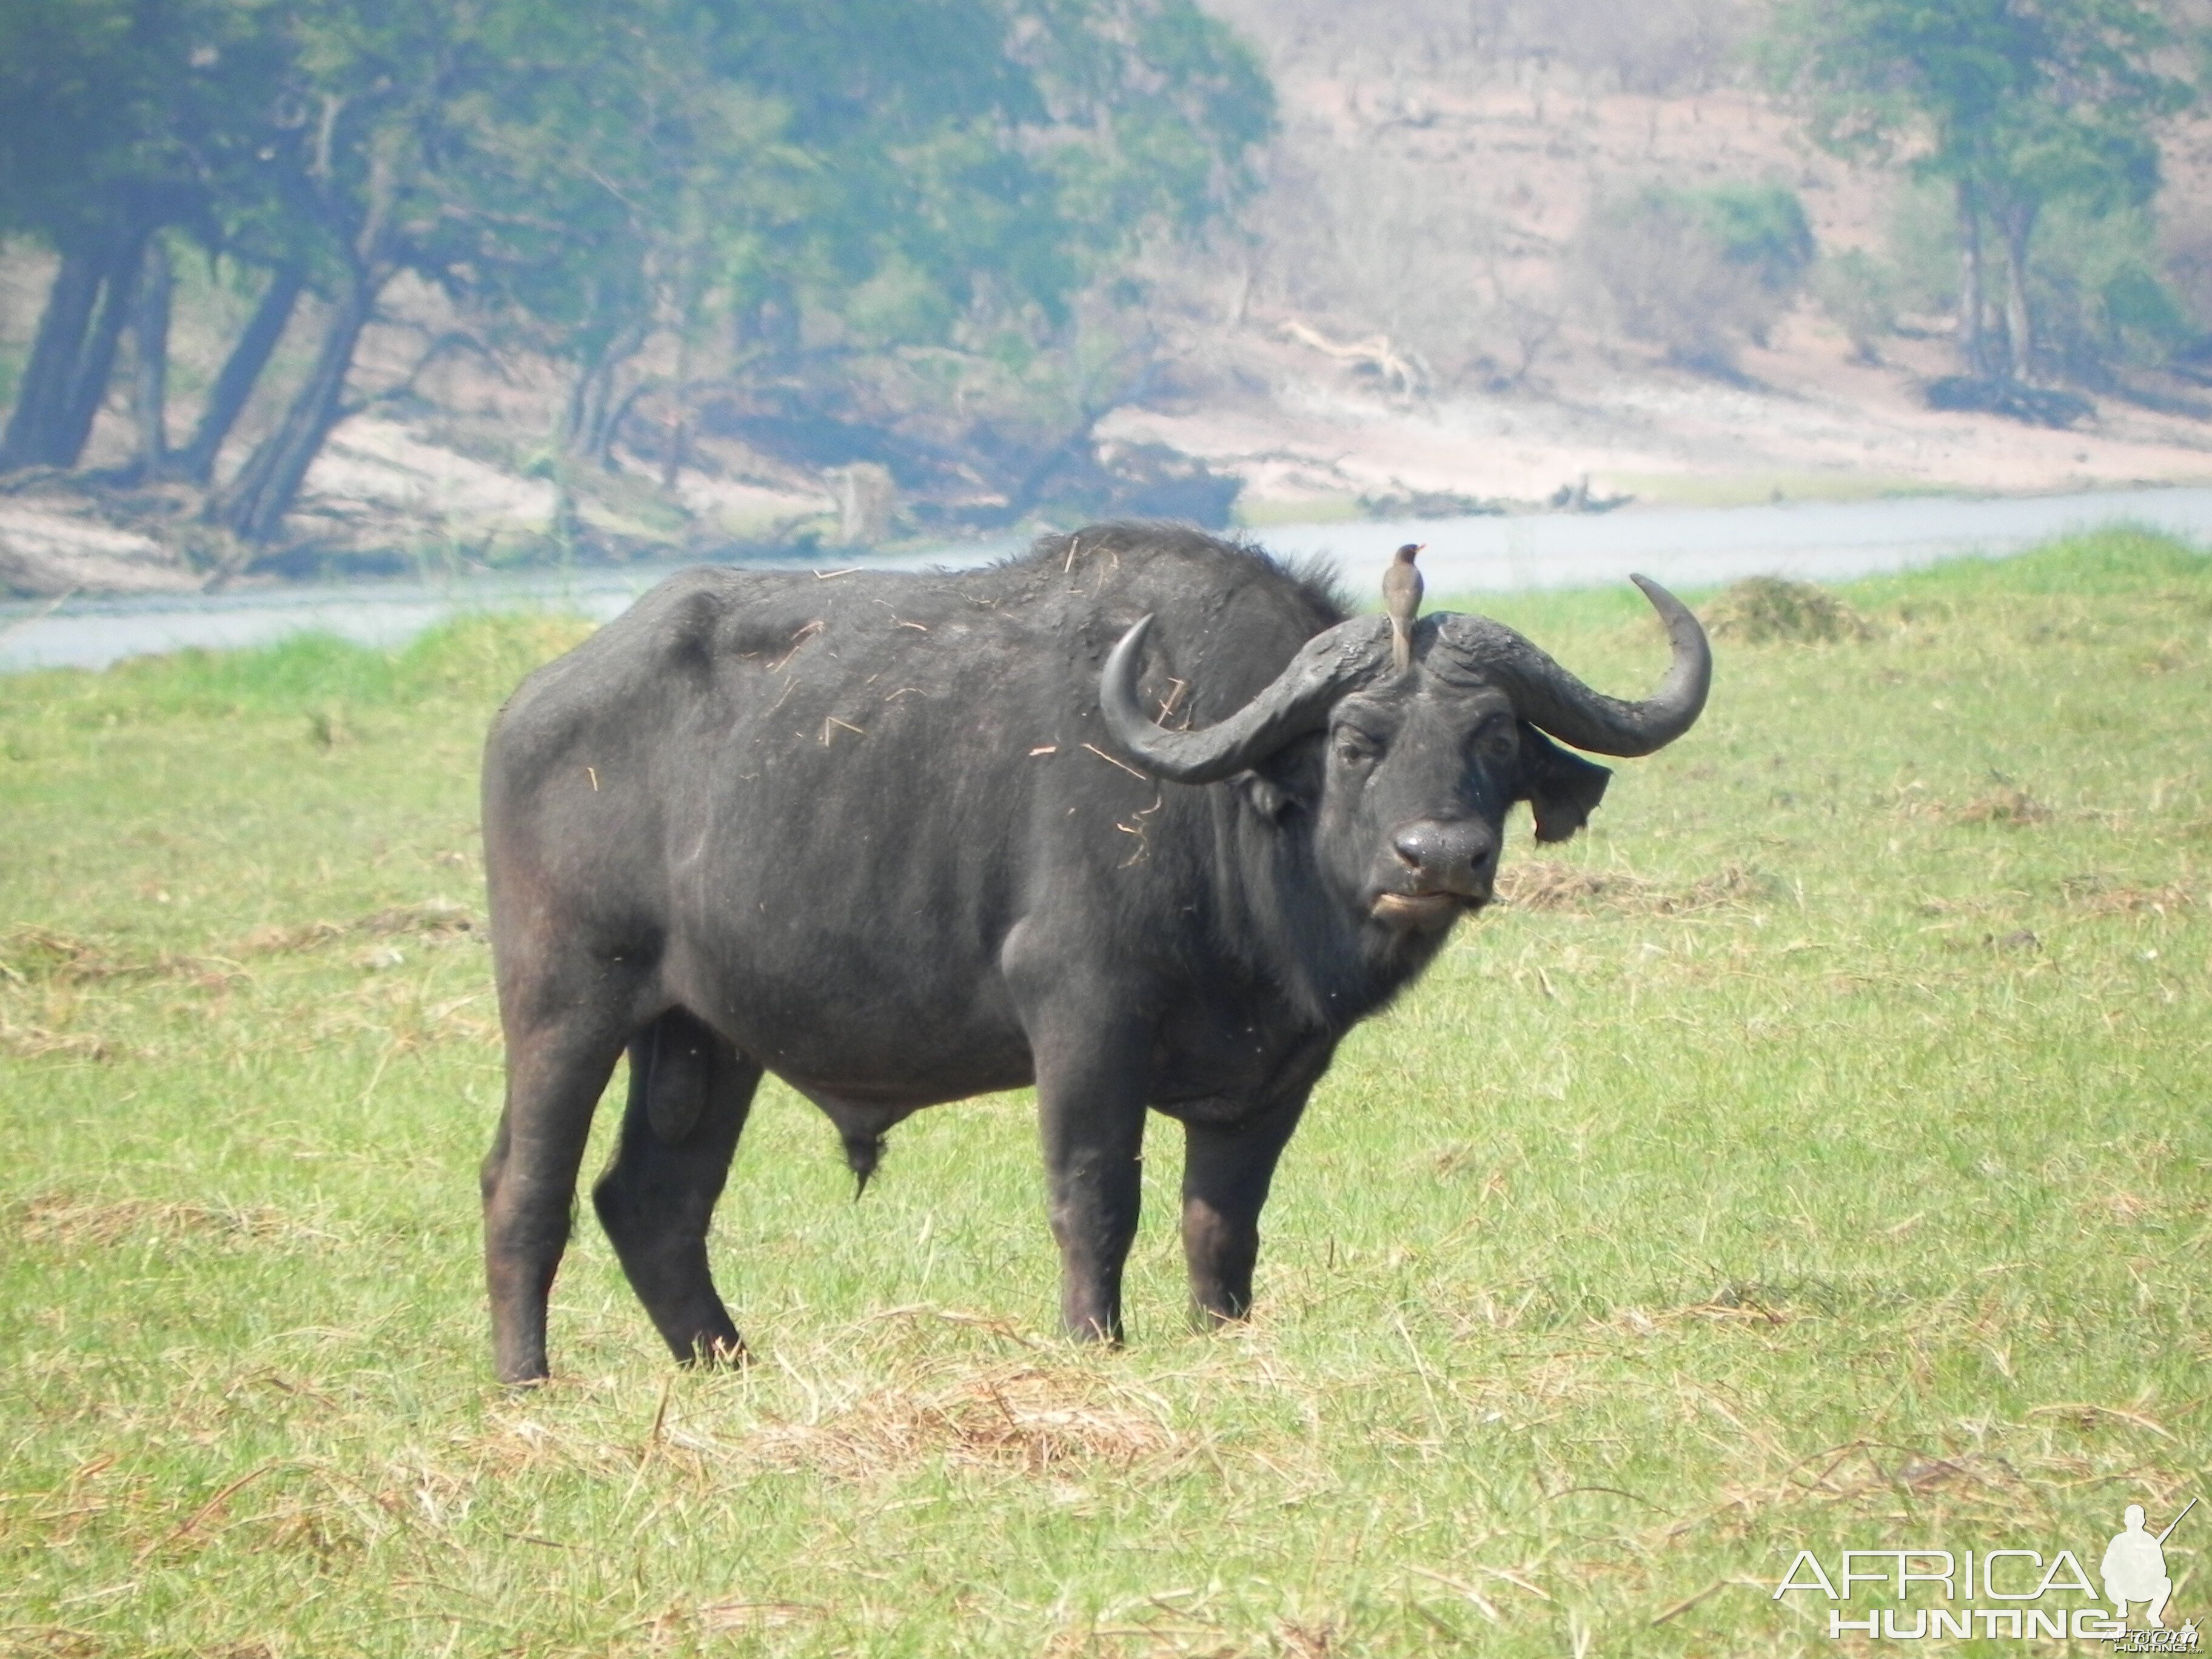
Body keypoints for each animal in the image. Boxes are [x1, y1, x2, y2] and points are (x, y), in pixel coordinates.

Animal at [484, 526, 1708, 1380]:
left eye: (1493, 738)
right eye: (1358, 742)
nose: (1439, 856)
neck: (1232, 827)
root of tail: (532, 706)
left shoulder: (1280, 1070)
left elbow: (1222, 1218)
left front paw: (1220, 1332)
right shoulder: (1084, 1020)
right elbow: (1095, 1195)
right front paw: (1092, 1342)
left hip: (705, 1038)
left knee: (654, 1200)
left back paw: (726, 1365)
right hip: (567, 1001)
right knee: (527, 1185)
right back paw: (527, 1380)